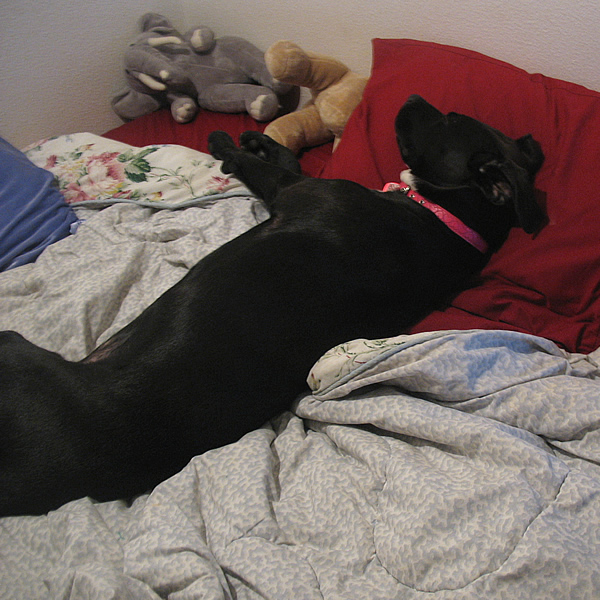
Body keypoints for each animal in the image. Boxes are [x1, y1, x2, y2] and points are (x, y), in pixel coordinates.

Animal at [0, 95, 544, 516]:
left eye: (449, 118)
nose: (410, 98)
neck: (447, 216)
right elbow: (283, 157)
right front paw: (258, 139)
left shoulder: (294, 191)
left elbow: (262, 168)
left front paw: (228, 144)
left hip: (14, 346)